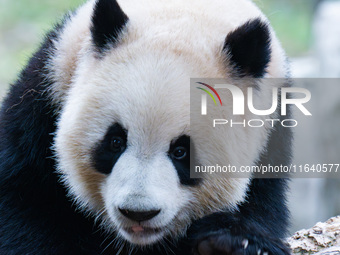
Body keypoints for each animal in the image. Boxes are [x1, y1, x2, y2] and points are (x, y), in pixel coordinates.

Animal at [0, 0, 292, 254]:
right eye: (115, 141)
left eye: (181, 152)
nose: (138, 212)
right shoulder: (43, 96)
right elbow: (24, 201)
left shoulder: (272, 134)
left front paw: (231, 243)